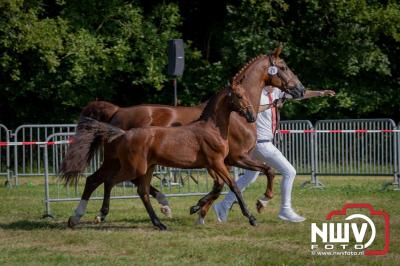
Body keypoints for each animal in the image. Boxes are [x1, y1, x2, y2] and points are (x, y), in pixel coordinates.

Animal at [61, 83, 256, 229]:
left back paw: (159, 222)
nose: (251, 116)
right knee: (108, 181)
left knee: (141, 191)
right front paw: (251, 218)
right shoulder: (217, 162)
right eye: (239, 95)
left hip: (146, 167)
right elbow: (233, 187)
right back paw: (99, 214)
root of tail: (123, 133)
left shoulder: (217, 164)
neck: (212, 128)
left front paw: (196, 207)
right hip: (133, 168)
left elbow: (221, 187)